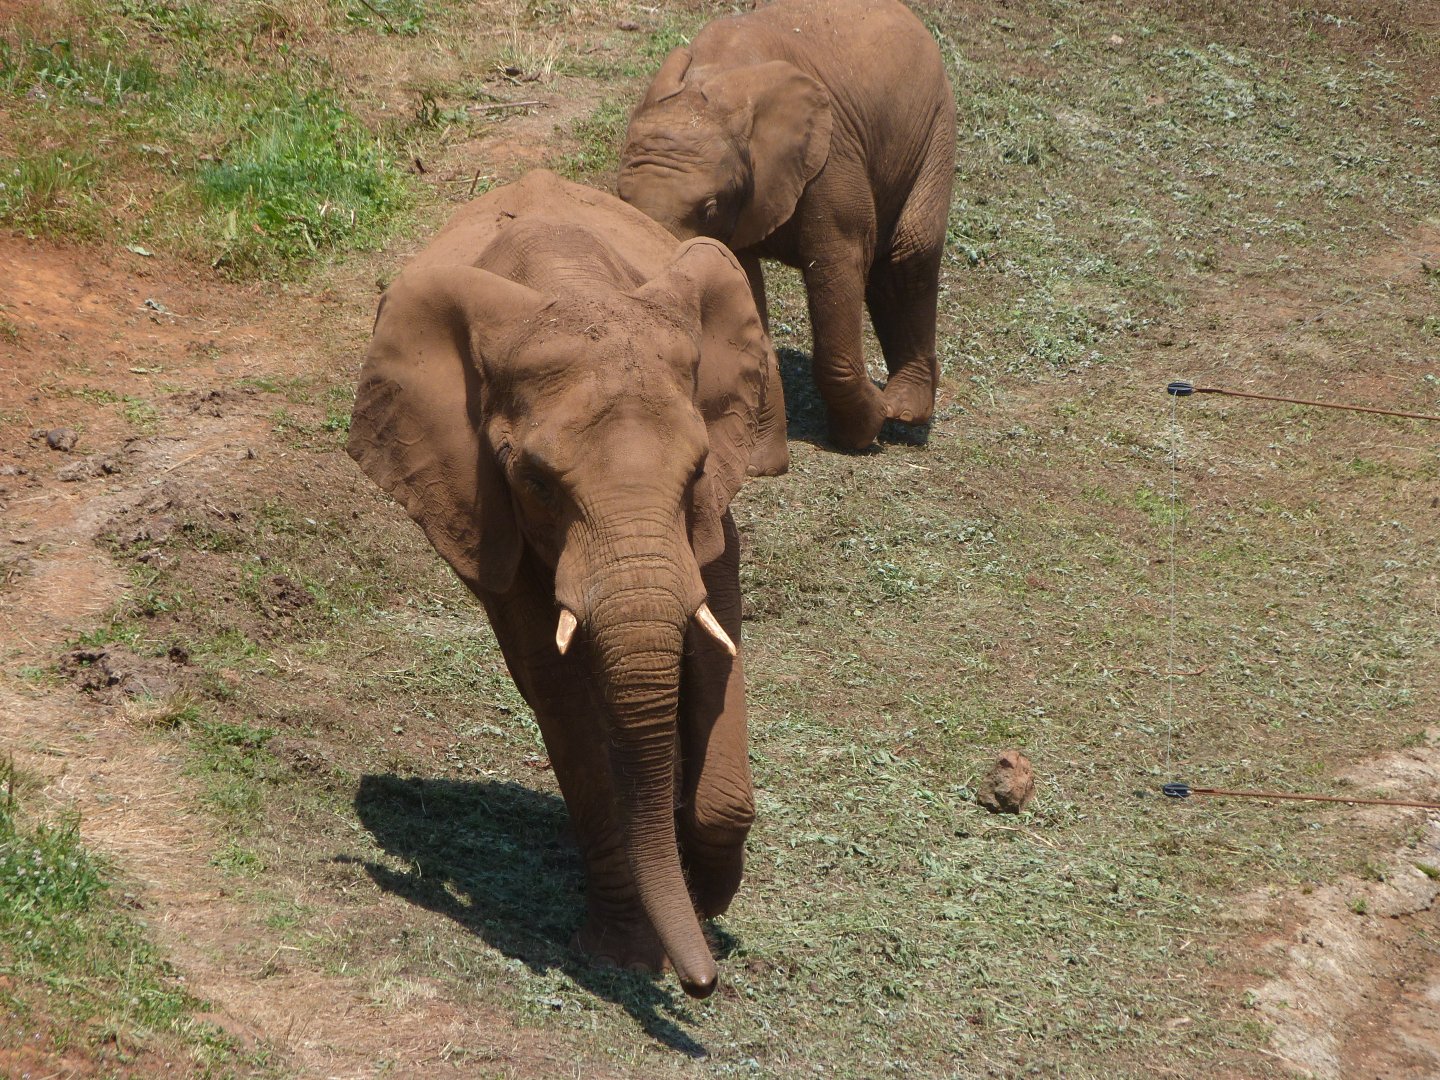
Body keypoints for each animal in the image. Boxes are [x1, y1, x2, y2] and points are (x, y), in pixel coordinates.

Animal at [346, 169, 788, 999]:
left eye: (697, 469)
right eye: (538, 483)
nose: (703, 984)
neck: (569, 288)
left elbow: (717, 620)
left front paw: (704, 892)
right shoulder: (484, 500)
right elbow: (555, 683)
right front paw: (626, 954)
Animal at [617, 0, 957, 451]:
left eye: (708, 208)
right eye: (619, 199)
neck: (715, 78)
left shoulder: (830, 154)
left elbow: (841, 261)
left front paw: (863, 429)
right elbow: (740, 278)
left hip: (936, 124)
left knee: (909, 254)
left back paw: (903, 410)